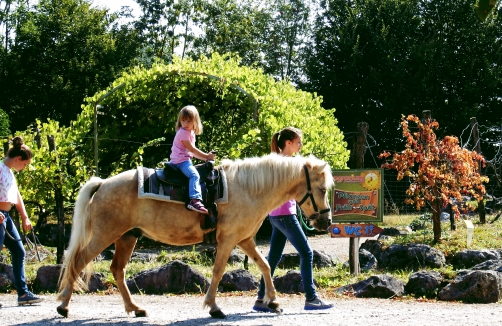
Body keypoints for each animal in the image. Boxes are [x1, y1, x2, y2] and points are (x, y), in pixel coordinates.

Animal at [56, 153, 334, 318]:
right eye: (321, 189)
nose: (326, 221)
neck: (247, 189)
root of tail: (103, 183)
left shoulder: (244, 239)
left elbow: (265, 265)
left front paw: (273, 302)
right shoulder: (228, 240)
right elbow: (218, 271)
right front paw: (213, 307)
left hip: (127, 237)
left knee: (117, 270)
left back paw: (135, 308)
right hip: (104, 235)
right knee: (77, 261)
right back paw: (63, 306)